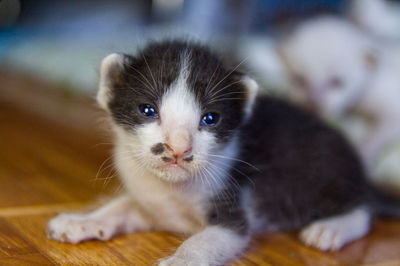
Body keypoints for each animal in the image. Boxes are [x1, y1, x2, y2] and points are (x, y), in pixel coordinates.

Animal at [47, 40, 396, 266]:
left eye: (210, 118)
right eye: (147, 110)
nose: (178, 149)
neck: (172, 191)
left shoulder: (233, 209)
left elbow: (204, 241)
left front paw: (180, 262)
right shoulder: (152, 205)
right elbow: (120, 207)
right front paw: (83, 221)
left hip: (322, 179)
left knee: (364, 209)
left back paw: (332, 228)